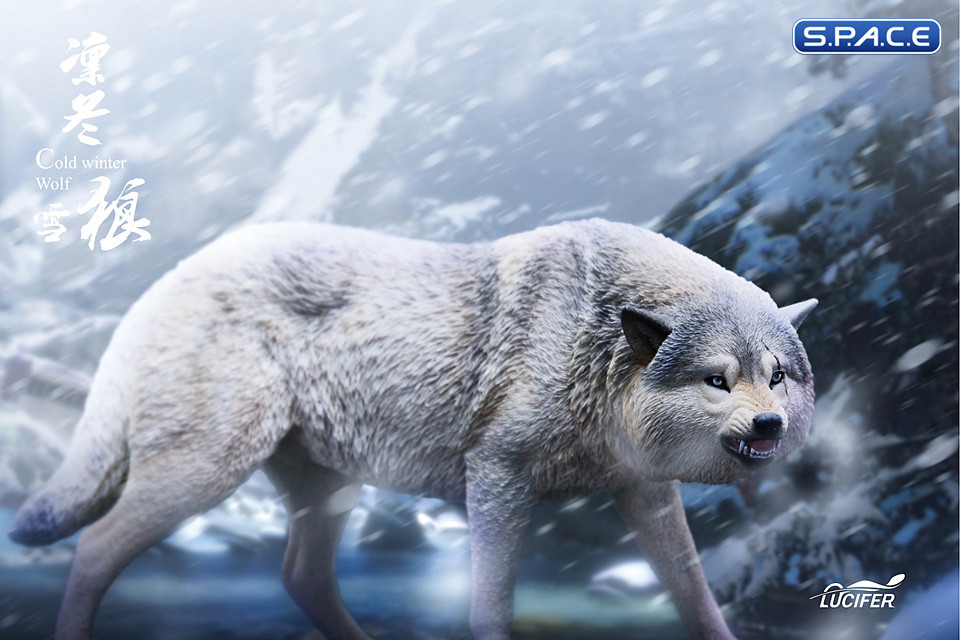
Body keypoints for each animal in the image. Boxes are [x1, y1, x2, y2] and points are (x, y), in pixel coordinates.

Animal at [9, 219, 816, 640]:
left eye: (778, 374)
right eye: (717, 380)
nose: (769, 423)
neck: (592, 343)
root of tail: (165, 283)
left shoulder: (645, 494)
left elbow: (696, 599)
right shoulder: (496, 477)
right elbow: (489, 609)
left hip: (325, 492)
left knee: (300, 575)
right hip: (203, 474)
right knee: (95, 546)